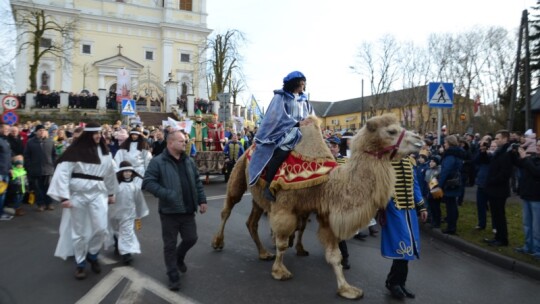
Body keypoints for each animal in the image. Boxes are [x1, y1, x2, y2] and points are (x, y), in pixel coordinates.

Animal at [212, 113, 426, 298]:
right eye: (391, 131)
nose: (420, 140)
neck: (328, 183)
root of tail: (250, 148)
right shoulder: (284, 206)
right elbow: (282, 242)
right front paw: (280, 271)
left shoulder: (324, 211)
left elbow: (334, 255)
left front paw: (347, 289)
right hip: (239, 173)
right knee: (227, 209)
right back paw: (218, 242)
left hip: (258, 195)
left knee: (252, 222)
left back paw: (264, 253)